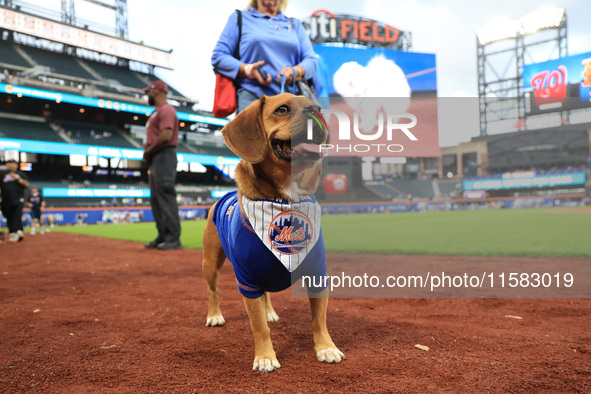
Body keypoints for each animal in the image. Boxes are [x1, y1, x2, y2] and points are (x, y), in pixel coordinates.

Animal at [202, 92, 344, 372]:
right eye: (282, 109)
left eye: (316, 106)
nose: (316, 109)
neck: (286, 199)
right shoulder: (247, 280)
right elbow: (259, 327)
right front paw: (265, 356)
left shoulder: (317, 275)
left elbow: (319, 320)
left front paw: (326, 347)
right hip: (211, 262)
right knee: (213, 290)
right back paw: (215, 315)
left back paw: (268, 311)